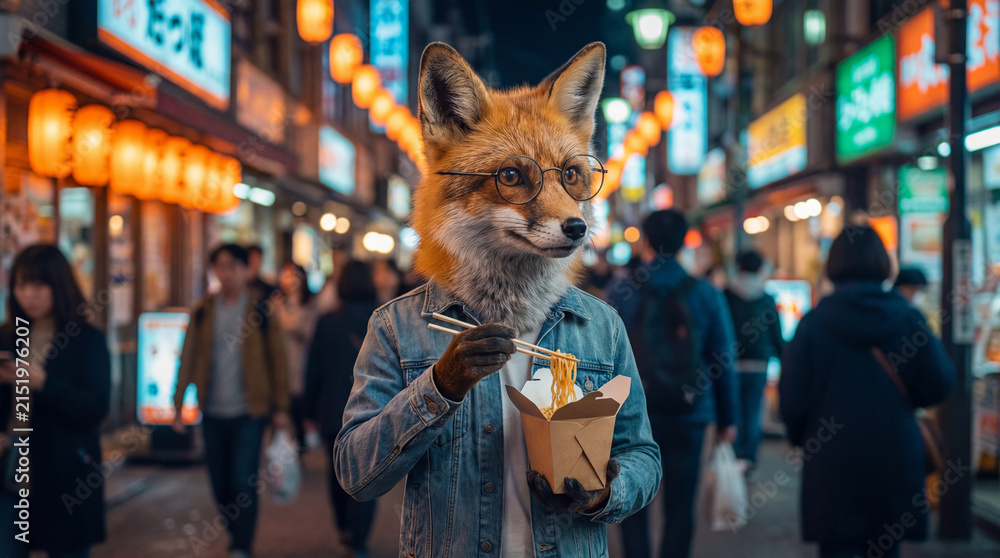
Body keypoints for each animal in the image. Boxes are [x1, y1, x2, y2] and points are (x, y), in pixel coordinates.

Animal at [333, 42, 660, 558]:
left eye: (572, 175)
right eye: (511, 175)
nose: (577, 228)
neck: (511, 308)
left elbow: (637, 448)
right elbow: (355, 448)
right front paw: (457, 366)